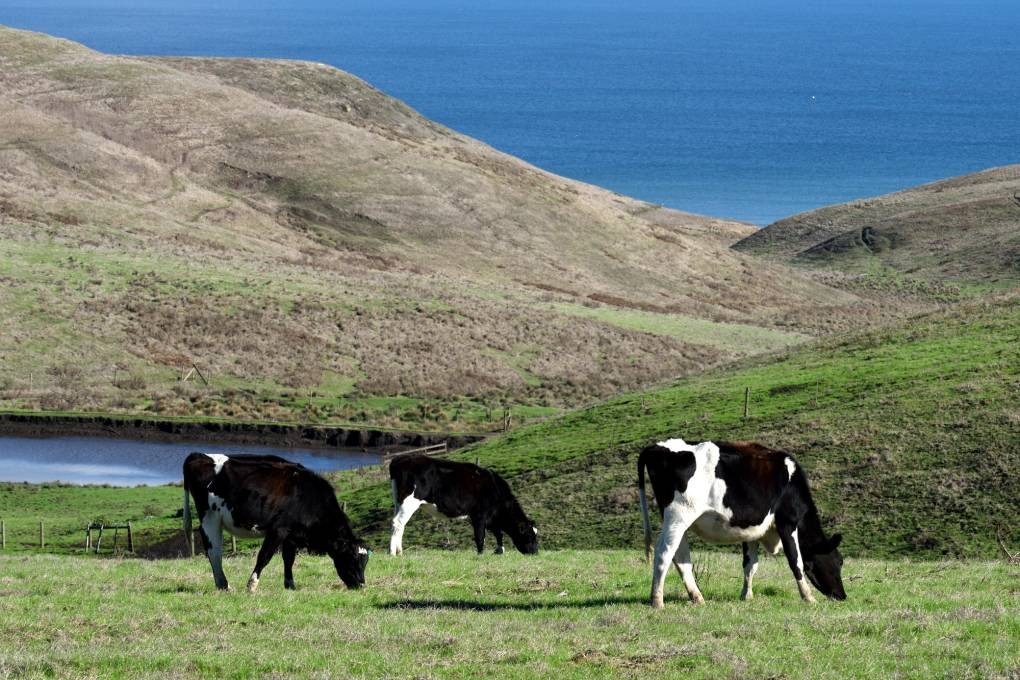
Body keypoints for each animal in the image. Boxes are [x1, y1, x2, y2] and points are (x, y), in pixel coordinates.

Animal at [183, 454, 371, 591]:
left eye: (365, 562)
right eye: (352, 558)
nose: (361, 586)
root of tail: (198, 456)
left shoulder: (291, 534)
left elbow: (289, 559)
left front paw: (290, 585)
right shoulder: (278, 530)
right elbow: (264, 557)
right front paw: (252, 585)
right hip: (210, 518)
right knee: (214, 552)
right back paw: (224, 585)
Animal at [385, 456, 538, 558]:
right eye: (529, 535)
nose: (535, 552)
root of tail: (401, 459)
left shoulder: (490, 517)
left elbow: (498, 532)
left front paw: (499, 550)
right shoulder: (480, 514)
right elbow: (480, 535)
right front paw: (480, 554)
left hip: (398, 501)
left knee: (398, 525)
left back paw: (399, 551)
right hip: (409, 501)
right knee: (398, 523)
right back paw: (393, 553)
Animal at [636, 438, 844, 607]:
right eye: (838, 562)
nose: (843, 596)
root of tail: (658, 446)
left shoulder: (751, 531)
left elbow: (750, 564)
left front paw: (746, 595)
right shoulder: (787, 523)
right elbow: (796, 561)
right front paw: (808, 596)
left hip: (679, 521)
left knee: (681, 556)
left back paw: (697, 598)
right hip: (678, 515)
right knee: (664, 552)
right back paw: (657, 601)